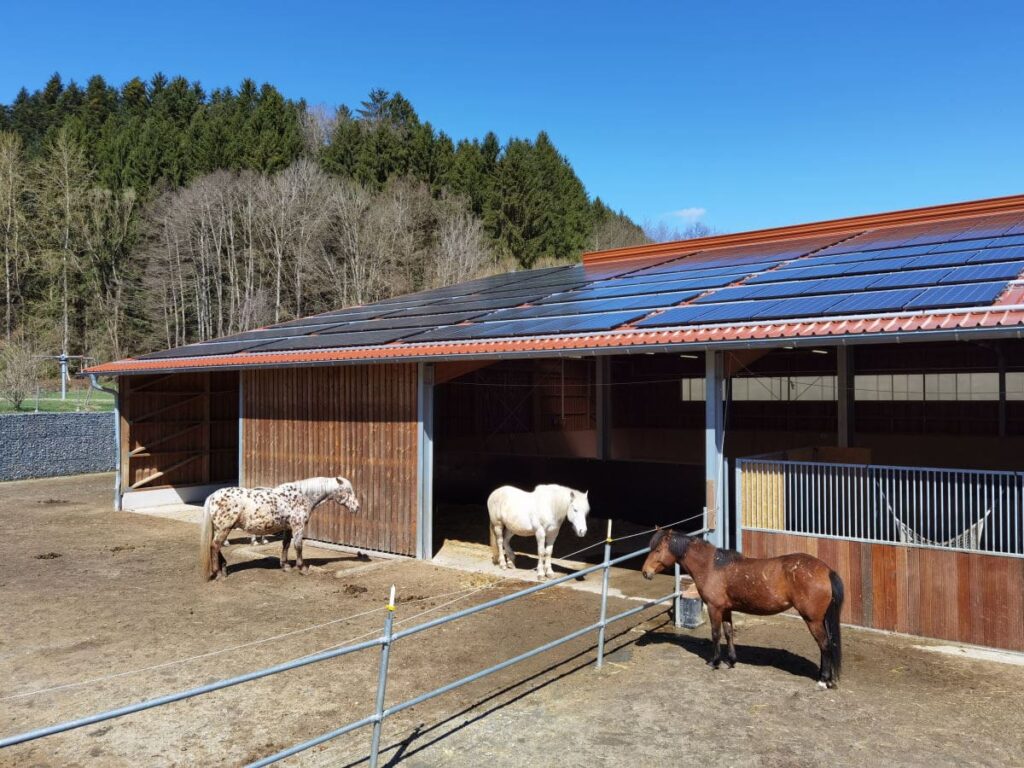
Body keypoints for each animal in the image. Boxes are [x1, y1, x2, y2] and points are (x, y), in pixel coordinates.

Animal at [199, 479, 360, 581]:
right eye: (347, 491)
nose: (357, 507)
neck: (302, 496)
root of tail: (213, 496)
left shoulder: (287, 528)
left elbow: (286, 545)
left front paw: (285, 566)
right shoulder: (298, 527)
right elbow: (298, 546)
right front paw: (302, 568)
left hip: (220, 529)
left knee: (215, 547)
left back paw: (224, 569)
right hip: (224, 528)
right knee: (214, 546)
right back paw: (218, 573)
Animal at [643, 528, 843, 692]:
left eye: (658, 550)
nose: (645, 572)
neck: (711, 566)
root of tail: (826, 570)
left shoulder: (714, 608)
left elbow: (716, 634)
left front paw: (714, 662)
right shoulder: (725, 609)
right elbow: (729, 632)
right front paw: (731, 661)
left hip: (813, 620)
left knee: (824, 645)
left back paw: (823, 681)